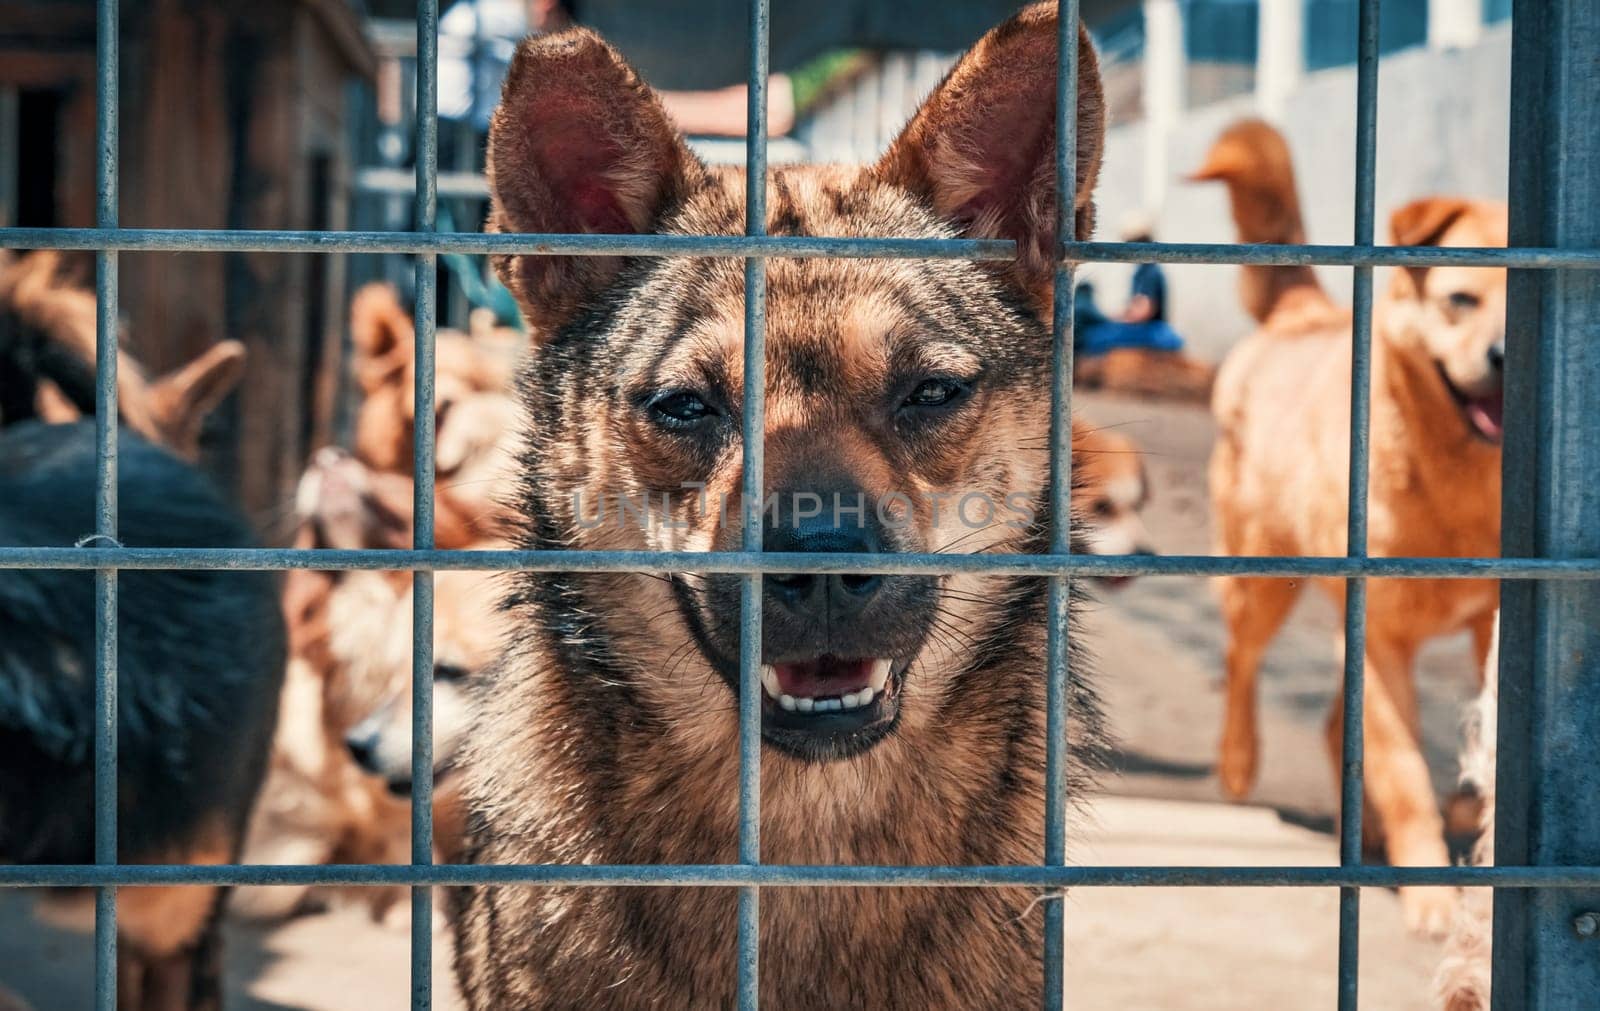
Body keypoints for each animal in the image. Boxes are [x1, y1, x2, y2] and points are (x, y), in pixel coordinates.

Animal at [1196, 120, 1504, 940]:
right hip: (1259, 582)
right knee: (1241, 662)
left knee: (1337, 727)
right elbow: (1403, 771)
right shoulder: (1379, 641)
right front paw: (1431, 895)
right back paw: (1238, 762)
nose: (1503, 355)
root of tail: (1300, 313)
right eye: (1462, 299)